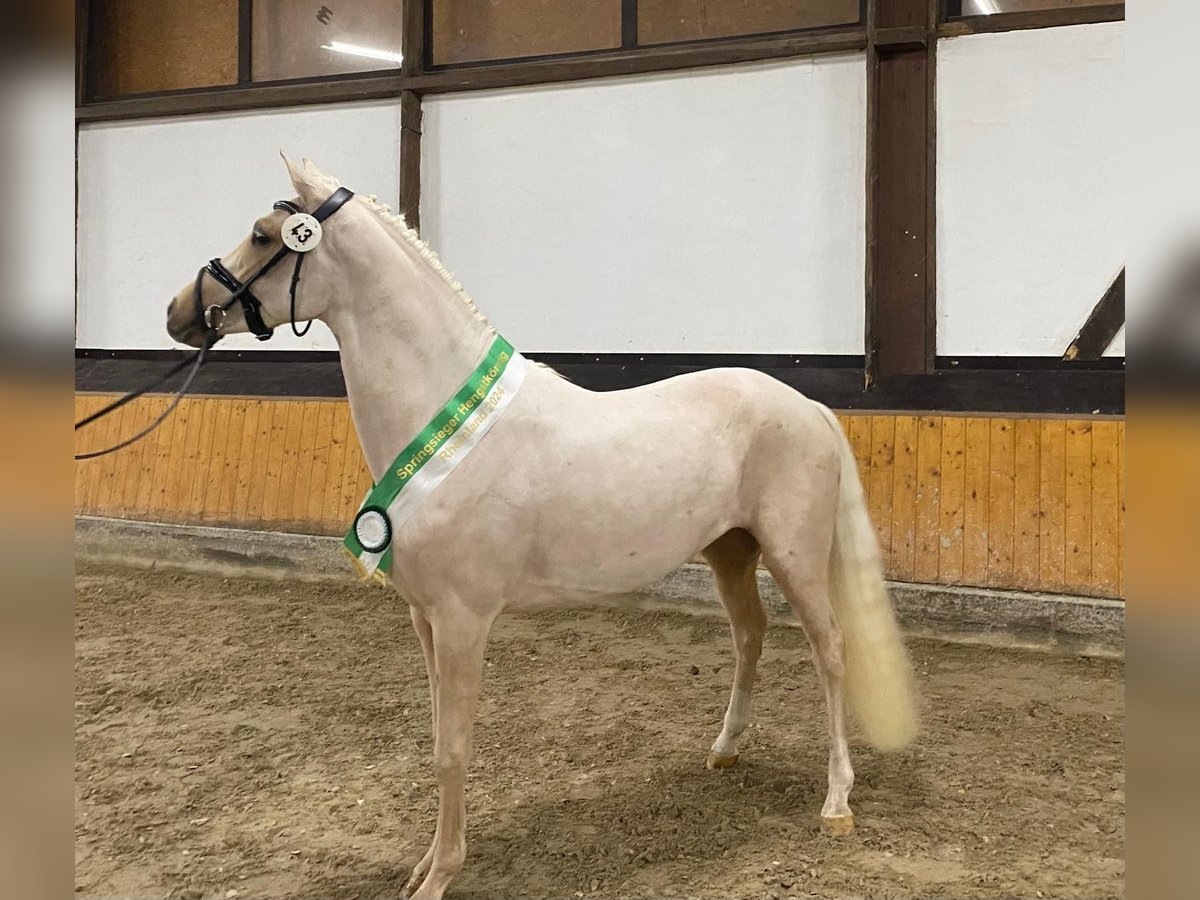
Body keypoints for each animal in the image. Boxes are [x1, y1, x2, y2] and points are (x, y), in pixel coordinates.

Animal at [166, 157, 916, 900]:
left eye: (263, 236)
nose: (178, 313)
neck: (445, 421)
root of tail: (807, 405)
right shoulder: (424, 618)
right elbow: (437, 738)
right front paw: (421, 869)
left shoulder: (464, 620)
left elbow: (453, 749)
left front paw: (441, 876)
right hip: (729, 551)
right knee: (750, 635)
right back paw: (724, 751)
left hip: (794, 556)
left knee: (831, 651)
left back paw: (837, 803)